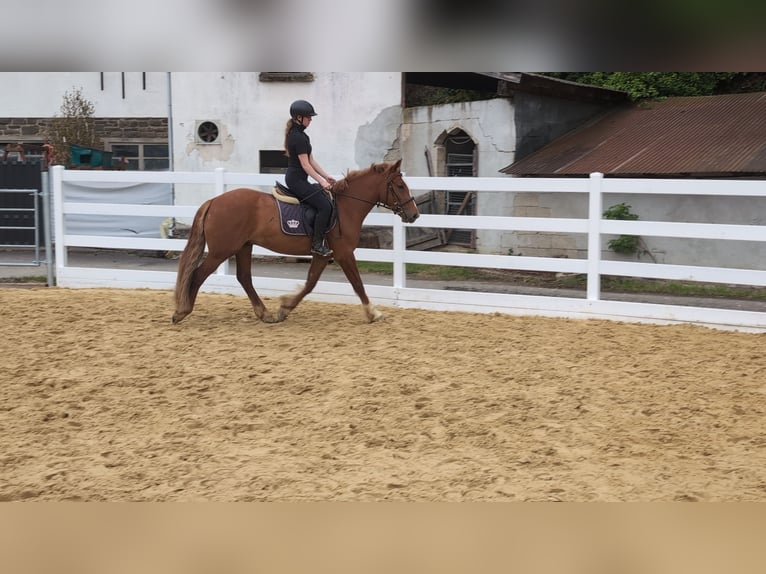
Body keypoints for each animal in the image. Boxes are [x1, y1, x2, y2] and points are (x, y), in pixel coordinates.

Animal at [172, 159, 419, 324]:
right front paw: (373, 313)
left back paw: (265, 314)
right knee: (198, 275)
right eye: (400, 186)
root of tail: (214, 201)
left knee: (244, 277)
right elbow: (357, 283)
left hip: (243, 246)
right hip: (221, 251)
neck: (346, 206)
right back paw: (182, 311)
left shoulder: (322, 254)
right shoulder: (344, 253)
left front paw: (285, 308)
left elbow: (310, 284)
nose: (414, 214)